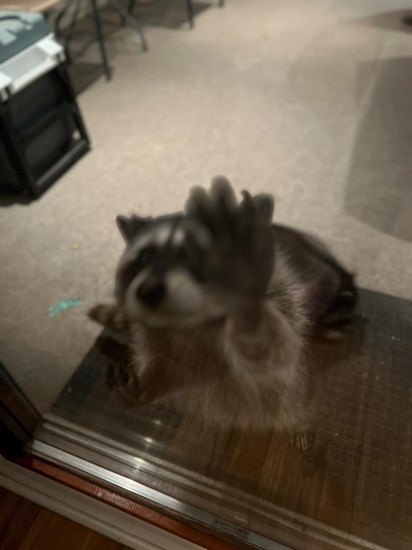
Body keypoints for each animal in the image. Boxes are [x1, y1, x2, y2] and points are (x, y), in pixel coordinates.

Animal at [88, 177, 356, 436]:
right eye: (146, 257)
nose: (149, 292)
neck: (190, 326)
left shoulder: (285, 305)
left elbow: (272, 359)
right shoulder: (159, 341)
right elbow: (163, 367)